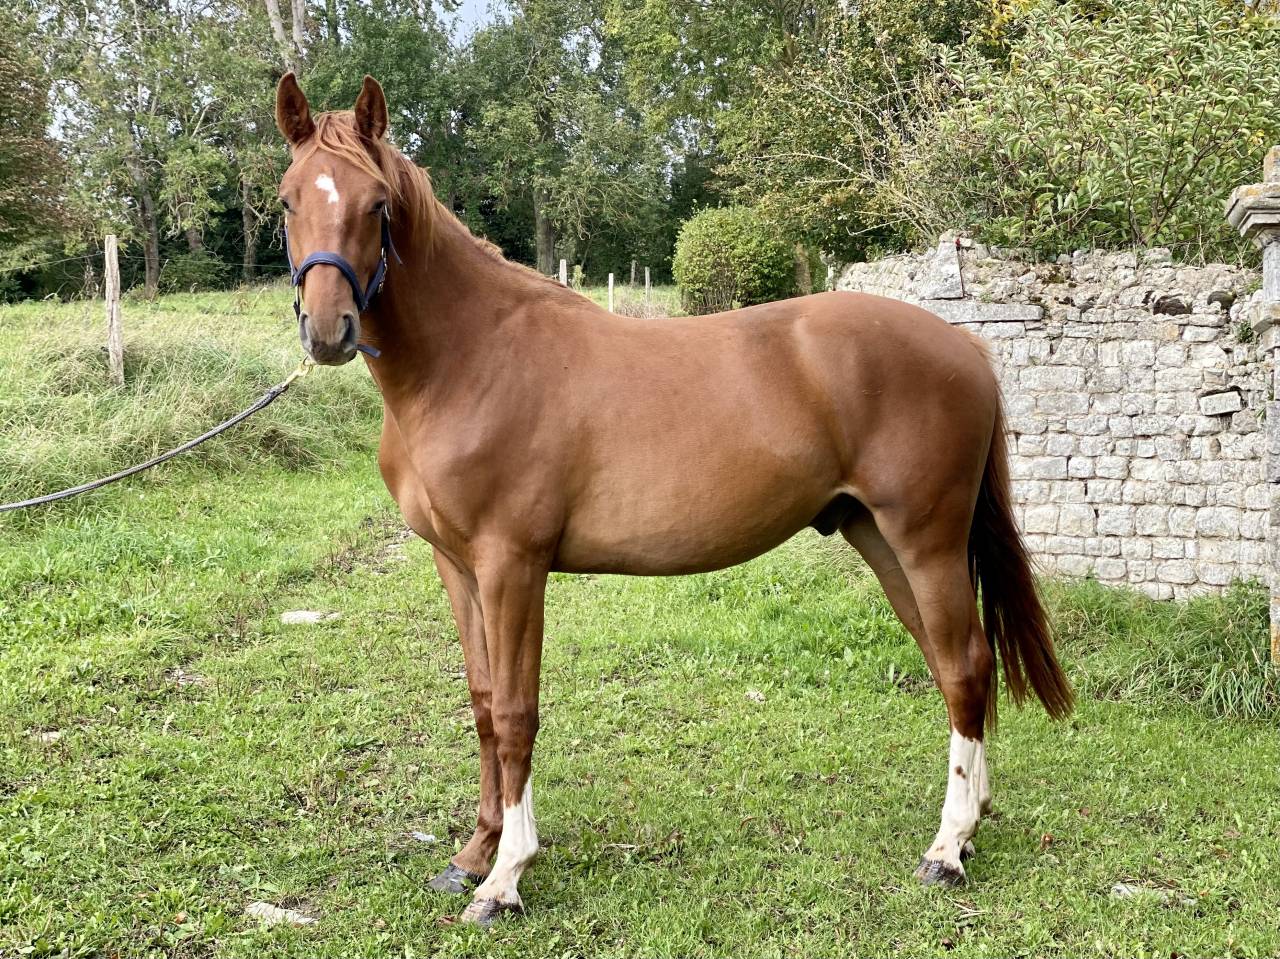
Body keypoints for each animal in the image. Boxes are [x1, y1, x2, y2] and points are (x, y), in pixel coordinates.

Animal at [273, 72, 1073, 925]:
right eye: (288, 200)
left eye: (376, 204)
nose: (328, 329)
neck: (472, 359)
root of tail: (967, 346)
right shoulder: (457, 566)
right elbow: (486, 704)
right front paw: (473, 853)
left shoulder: (512, 566)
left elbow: (519, 711)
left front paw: (506, 875)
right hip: (880, 539)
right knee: (956, 665)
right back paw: (971, 825)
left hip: (926, 539)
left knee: (963, 665)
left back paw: (946, 850)